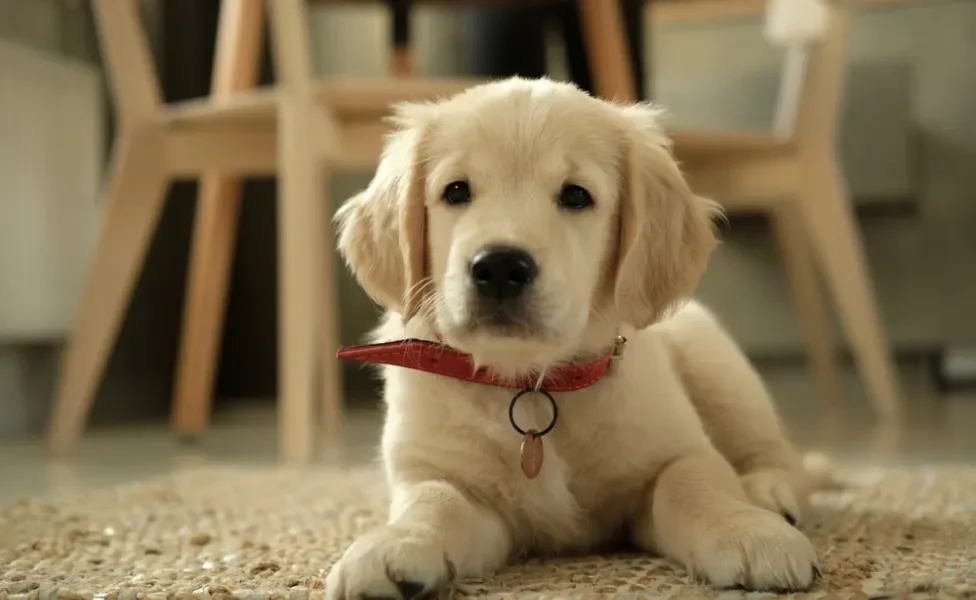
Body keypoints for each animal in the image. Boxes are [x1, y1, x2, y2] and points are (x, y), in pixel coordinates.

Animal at [326, 77, 816, 596]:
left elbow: (690, 479)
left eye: (576, 196)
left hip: (721, 371)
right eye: (456, 191)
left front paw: (748, 530)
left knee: (778, 453)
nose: (499, 267)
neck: (533, 384)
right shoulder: (445, 477)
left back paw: (768, 492)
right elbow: (435, 499)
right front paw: (394, 544)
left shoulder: (677, 449)